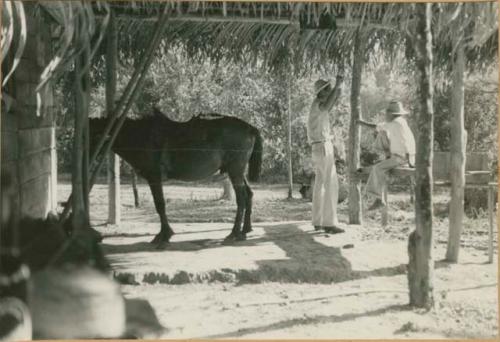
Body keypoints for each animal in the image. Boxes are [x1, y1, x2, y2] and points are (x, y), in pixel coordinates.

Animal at [89, 109, 262, 246]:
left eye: (92, 137)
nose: (89, 160)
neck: (142, 136)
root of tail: (250, 128)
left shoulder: (154, 177)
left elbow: (160, 204)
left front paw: (164, 235)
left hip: (235, 170)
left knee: (241, 199)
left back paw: (234, 233)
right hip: (238, 171)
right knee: (249, 194)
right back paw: (245, 230)